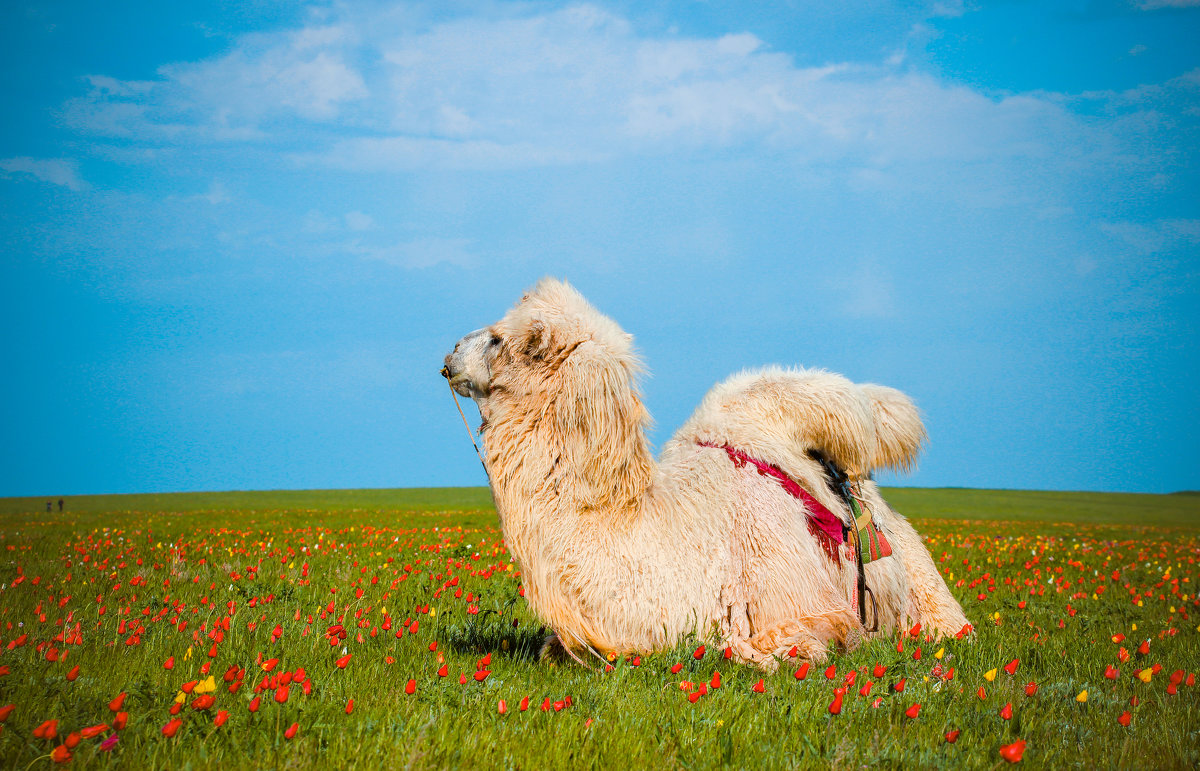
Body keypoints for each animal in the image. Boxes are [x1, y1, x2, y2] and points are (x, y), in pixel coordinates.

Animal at [441, 277, 964, 667]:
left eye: (498, 339)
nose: (450, 351)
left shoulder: (806, 607)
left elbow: (795, 645)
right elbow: (554, 649)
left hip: (921, 586)